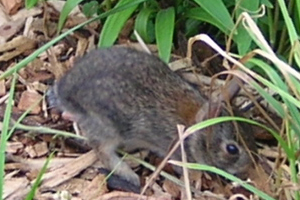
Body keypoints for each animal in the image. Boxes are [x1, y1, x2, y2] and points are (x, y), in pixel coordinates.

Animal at [50, 46, 256, 188]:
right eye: (232, 149)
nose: (249, 166)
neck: (194, 130)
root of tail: (67, 92)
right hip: (108, 128)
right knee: (103, 152)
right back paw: (130, 175)